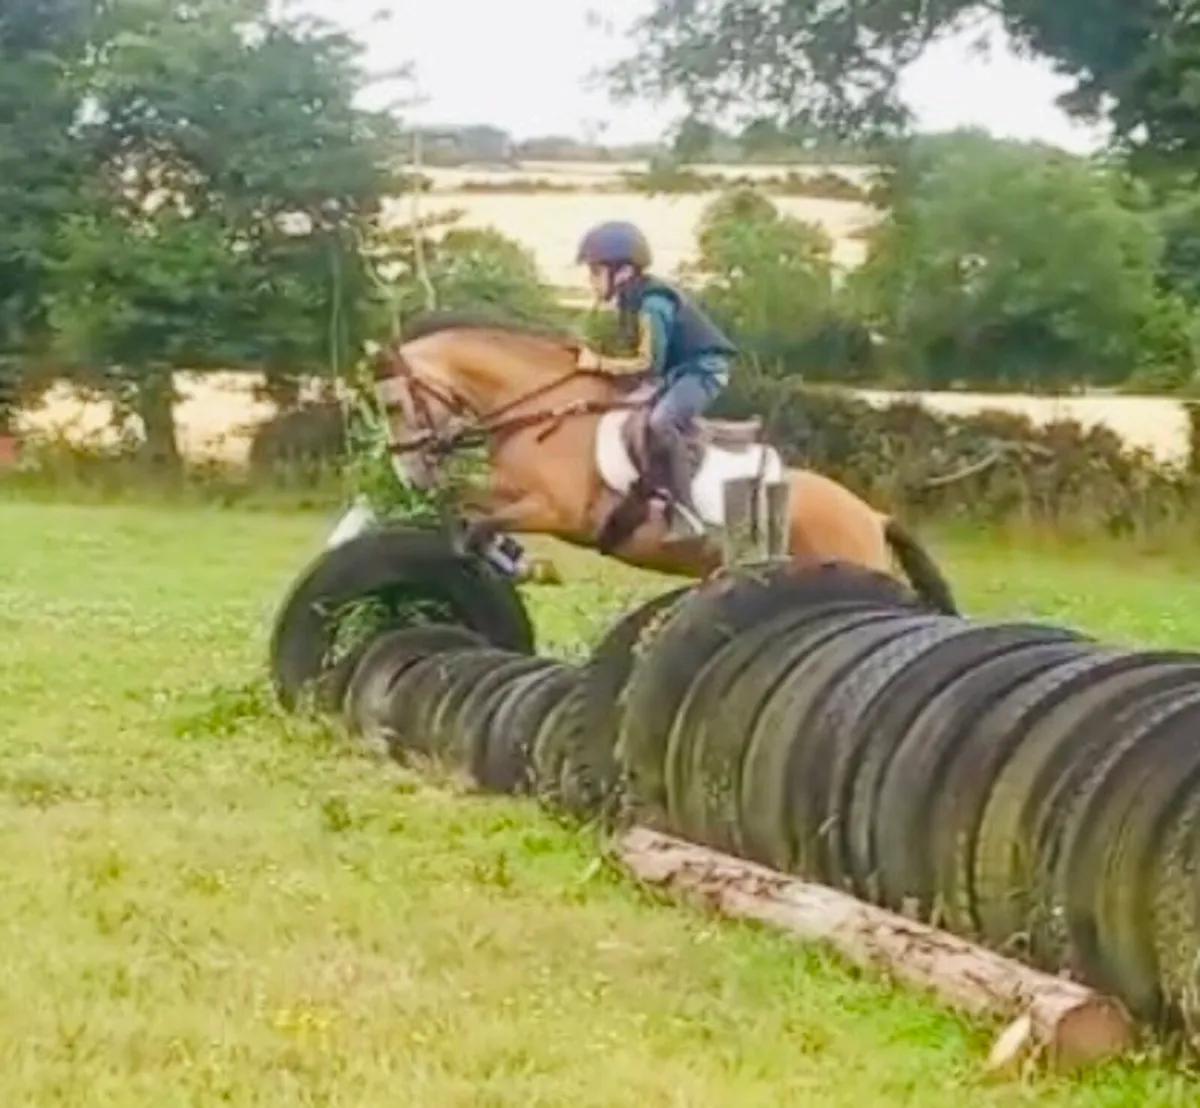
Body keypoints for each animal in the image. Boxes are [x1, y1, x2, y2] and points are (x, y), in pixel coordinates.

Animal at [371, 310, 958, 614]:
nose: (409, 473)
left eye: (394, 406)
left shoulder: (557, 512)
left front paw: (511, 560)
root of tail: (872, 515)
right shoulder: (513, 493)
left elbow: (475, 521)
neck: (545, 414)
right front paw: (505, 555)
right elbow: (466, 507)